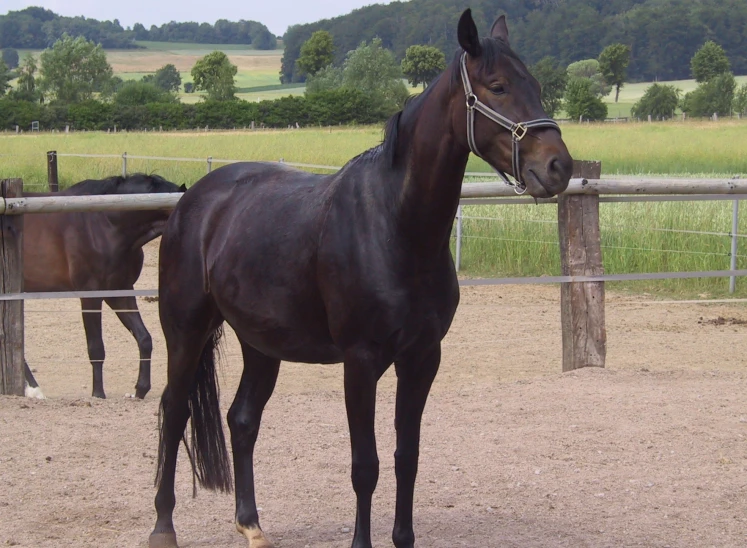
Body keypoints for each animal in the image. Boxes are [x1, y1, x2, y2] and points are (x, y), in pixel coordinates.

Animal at [24, 174, 187, 398]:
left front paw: (140, 389)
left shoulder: (120, 291)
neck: (106, 225)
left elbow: (144, 338)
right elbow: (96, 348)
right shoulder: (91, 295)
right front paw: (98, 393)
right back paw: (34, 389)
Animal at [150, 9, 572, 548]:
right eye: (497, 86)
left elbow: (406, 457)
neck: (395, 225)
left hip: (260, 344)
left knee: (242, 420)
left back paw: (251, 524)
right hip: (186, 331)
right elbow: (364, 465)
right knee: (174, 411)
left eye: (536, 85)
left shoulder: (422, 358)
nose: (559, 166)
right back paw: (163, 526)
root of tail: (192, 202)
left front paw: (403, 538)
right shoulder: (361, 361)